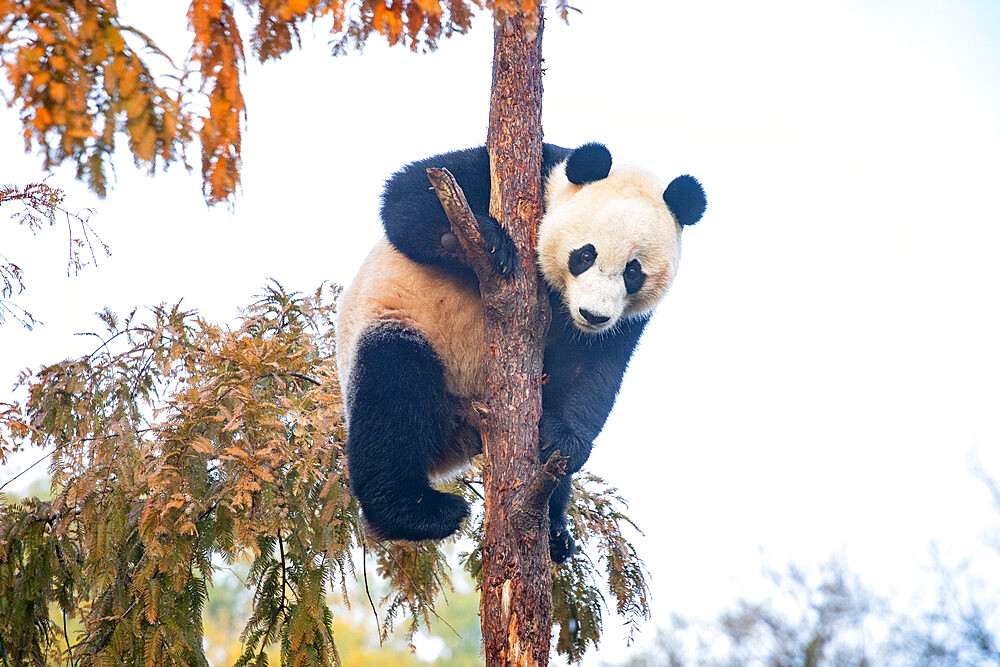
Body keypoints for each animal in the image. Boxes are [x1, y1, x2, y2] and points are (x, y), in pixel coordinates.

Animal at [336, 142, 704, 564]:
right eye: (585, 255)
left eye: (633, 272)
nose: (593, 314)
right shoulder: (514, 174)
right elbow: (405, 198)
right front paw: (486, 241)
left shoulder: (623, 322)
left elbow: (592, 370)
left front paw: (562, 440)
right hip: (400, 324)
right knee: (393, 393)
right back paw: (417, 511)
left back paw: (555, 532)